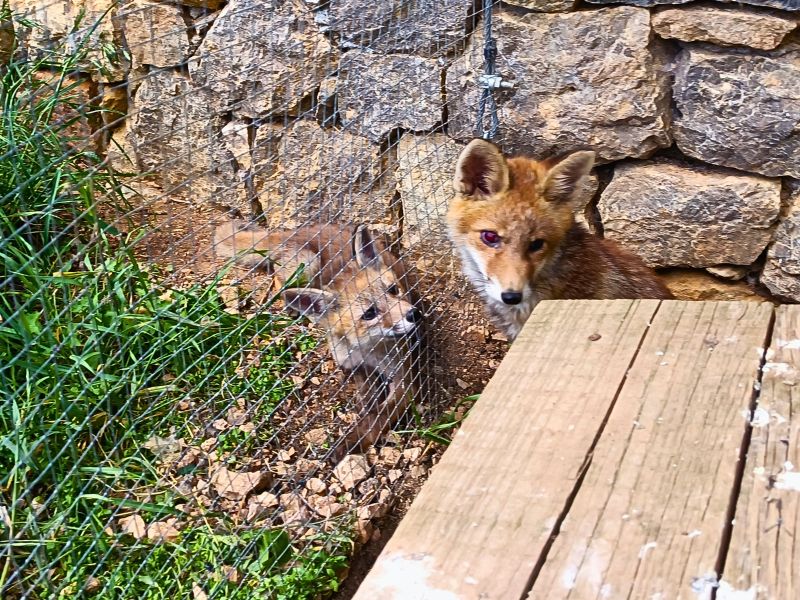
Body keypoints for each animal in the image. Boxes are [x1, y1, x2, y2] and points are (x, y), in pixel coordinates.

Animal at [212, 223, 424, 452]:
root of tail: (300, 230)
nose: (413, 314)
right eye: (369, 314)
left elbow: (379, 415)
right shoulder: (353, 365)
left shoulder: (403, 379)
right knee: (279, 280)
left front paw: (352, 441)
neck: (367, 349)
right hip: (307, 264)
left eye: (393, 290)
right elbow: (368, 399)